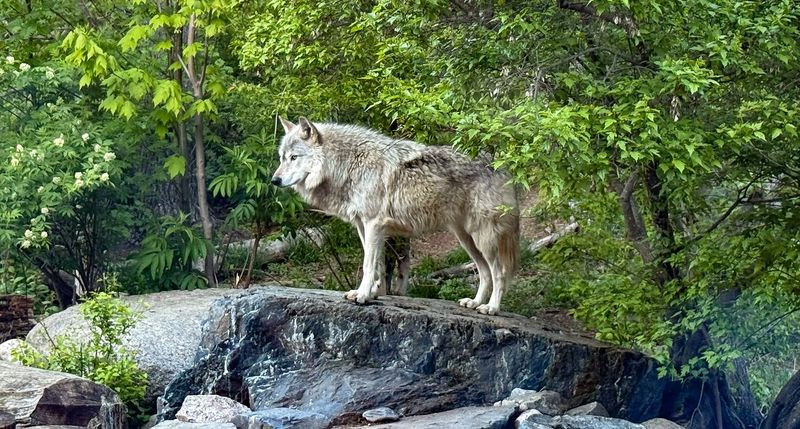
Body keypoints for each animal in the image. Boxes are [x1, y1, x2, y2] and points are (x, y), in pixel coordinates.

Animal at [271, 117, 519, 315]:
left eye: (294, 157)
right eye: (282, 158)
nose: (274, 180)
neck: (348, 164)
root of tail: (505, 167)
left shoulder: (373, 224)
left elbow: (368, 265)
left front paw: (362, 295)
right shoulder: (365, 227)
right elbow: (378, 267)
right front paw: (371, 293)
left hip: (483, 239)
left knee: (499, 273)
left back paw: (491, 308)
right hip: (466, 240)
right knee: (484, 272)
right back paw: (475, 303)